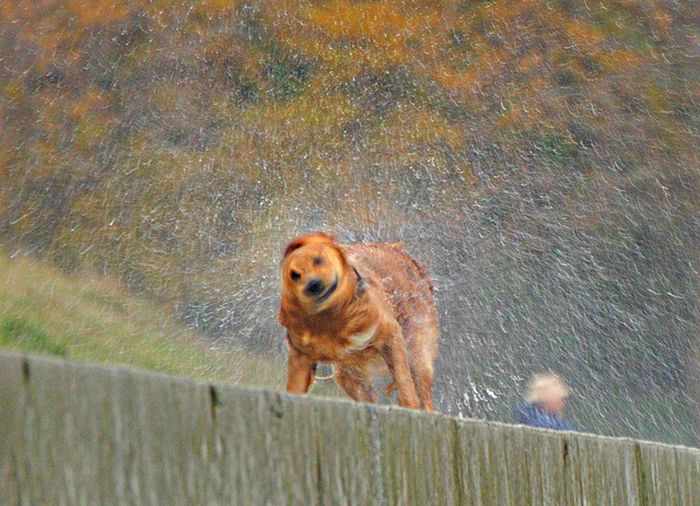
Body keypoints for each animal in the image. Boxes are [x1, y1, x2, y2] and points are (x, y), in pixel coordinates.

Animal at [278, 233, 438, 412]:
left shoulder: (390, 336)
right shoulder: (301, 355)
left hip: (418, 352)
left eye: (318, 260)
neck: (335, 317)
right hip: (346, 373)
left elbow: (404, 383)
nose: (313, 284)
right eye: (294, 275)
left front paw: (409, 406)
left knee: (423, 393)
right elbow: (295, 386)